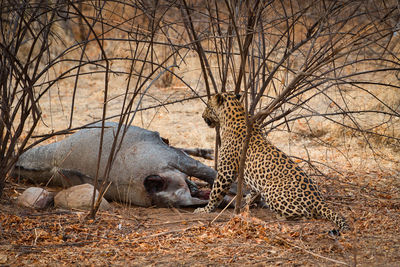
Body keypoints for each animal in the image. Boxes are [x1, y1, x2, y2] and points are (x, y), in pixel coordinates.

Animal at [195, 93, 350, 236]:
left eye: (208, 106)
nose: (202, 116)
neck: (232, 116)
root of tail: (318, 199)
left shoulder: (226, 171)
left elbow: (215, 192)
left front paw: (205, 209)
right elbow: (252, 192)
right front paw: (245, 203)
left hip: (271, 190)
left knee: (306, 214)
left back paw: (280, 216)